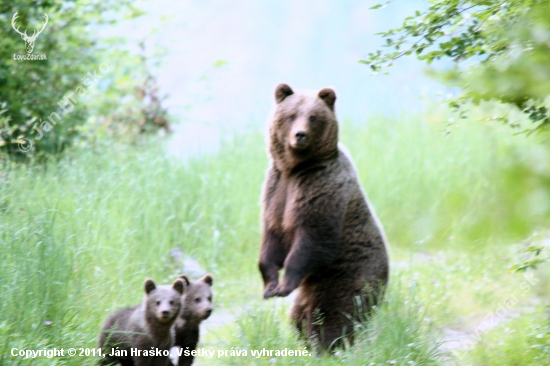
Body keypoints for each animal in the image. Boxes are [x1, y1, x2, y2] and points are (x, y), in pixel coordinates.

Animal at [260, 84, 390, 350]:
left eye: (313, 117)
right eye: (291, 115)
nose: (300, 135)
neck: (295, 168)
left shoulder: (321, 187)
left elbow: (313, 236)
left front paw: (284, 284)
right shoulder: (276, 190)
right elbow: (271, 236)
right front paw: (270, 286)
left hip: (348, 275)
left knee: (332, 313)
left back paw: (328, 346)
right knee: (299, 317)